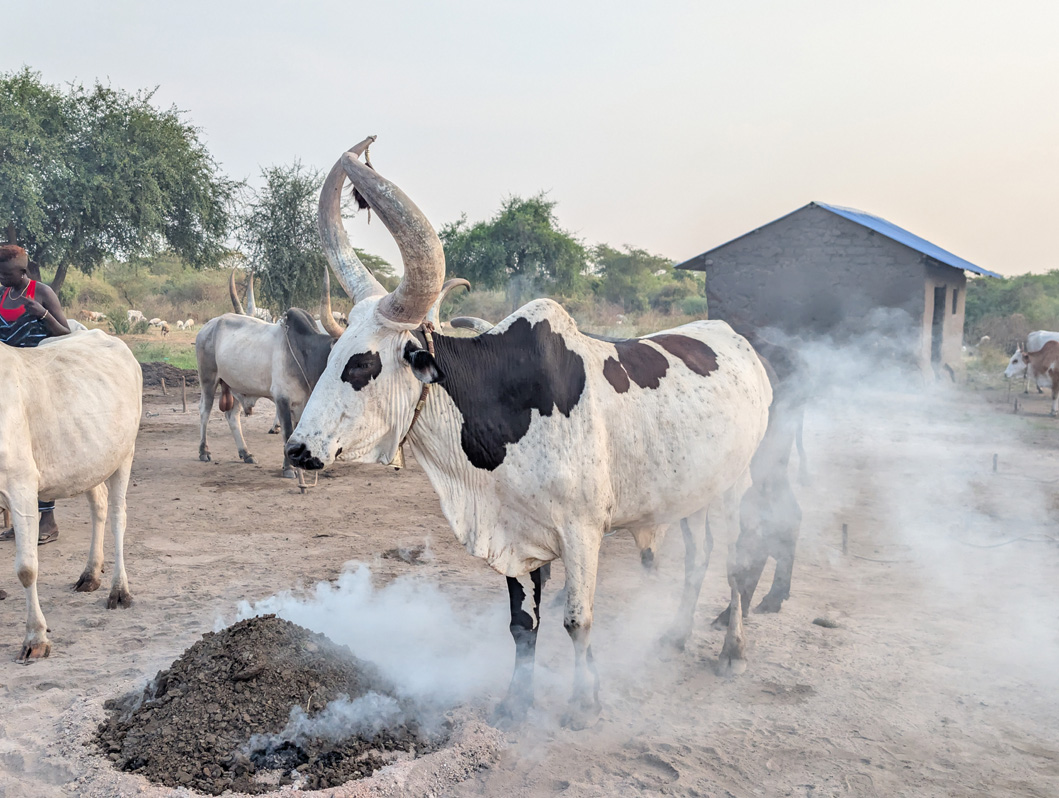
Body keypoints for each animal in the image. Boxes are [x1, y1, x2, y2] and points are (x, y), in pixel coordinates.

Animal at [0, 330, 142, 659]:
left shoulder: (20, 483)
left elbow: (26, 568)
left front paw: (36, 637)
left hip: (124, 454)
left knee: (118, 516)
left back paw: (119, 590)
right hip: (88, 460)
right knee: (99, 505)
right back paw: (90, 574)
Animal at [285, 139, 772, 728]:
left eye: (361, 364)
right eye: (332, 354)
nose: (297, 449)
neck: (497, 404)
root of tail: (737, 341)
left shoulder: (582, 531)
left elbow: (577, 621)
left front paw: (584, 704)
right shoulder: (517, 537)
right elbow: (523, 627)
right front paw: (516, 705)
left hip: (737, 488)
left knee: (737, 567)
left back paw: (732, 652)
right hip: (690, 495)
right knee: (698, 560)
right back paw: (674, 637)